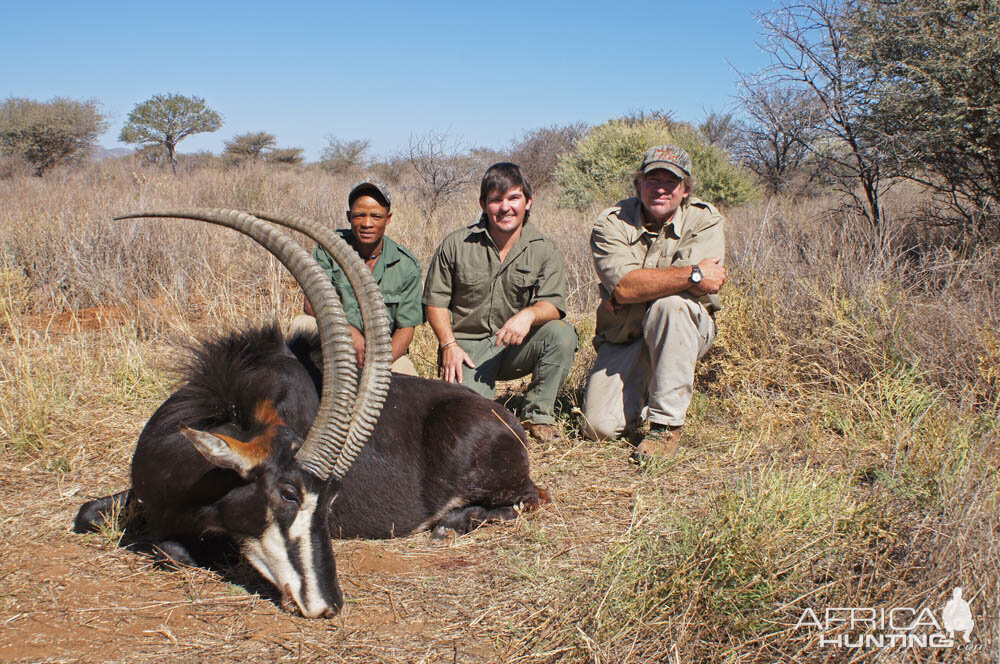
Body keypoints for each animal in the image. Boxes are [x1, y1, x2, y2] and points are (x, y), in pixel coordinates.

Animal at [72, 210, 548, 620]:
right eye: (288, 493)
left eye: (331, 501)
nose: (328, 604)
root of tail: (508, 424)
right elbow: (87, 513)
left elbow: (175, 550)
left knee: (529, 498)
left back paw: (449, 523)